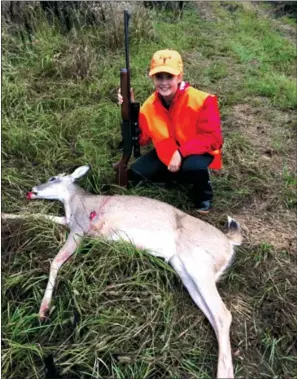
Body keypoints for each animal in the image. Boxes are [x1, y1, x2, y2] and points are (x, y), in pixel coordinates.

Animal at [1, 166, 240, 379]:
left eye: (53, 177)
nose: (33, 189)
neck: (75, 204)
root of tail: (230, 243)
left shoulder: (80, 227)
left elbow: (56, 261)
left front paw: (43, 310)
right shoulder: (69, 222)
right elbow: (40, 216)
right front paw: (5, 214)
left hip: (198, 264)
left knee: (223, 313)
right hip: (185, 270)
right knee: (214, 316)